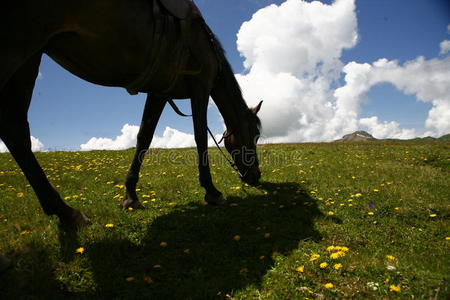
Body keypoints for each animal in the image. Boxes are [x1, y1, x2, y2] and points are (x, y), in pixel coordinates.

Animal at [0, 0, 262, 229]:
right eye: (255, 135)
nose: (256, 177)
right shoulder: (201, 86)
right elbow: (200, 138)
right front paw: (211, 191)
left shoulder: (159, 92)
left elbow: (144, 137)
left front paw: (130, 196)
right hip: (18, 49)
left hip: (29, 60)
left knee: (15, 132)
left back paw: (65, 212)